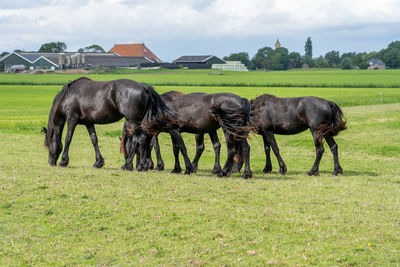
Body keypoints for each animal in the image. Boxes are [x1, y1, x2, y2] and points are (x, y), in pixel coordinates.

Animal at [42, 77, 173, 171]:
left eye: (48, 145)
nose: (50, 162)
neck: (68, 96)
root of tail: (145, 88)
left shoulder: (72, 119)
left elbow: (68, 139)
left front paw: (63, 161)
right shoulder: (89, 123)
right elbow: (94, 140)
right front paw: (98, 162)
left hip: (133, 121)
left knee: (138, 140)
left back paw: (130, 165)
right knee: (145, 139)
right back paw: (142, 166)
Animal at [120, 91, 255, 179]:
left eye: (132, 147)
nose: (127, 167)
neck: (160, 109)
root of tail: (241, 100)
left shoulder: (174, 130)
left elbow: (182, 149)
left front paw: (188, 168)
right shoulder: (172, 132)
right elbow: (176, 150)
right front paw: (176, 169)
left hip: (229, 129)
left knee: (231, 150)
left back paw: (223, 172)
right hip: (238, 131)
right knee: (246, 148)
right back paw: (246, 174)